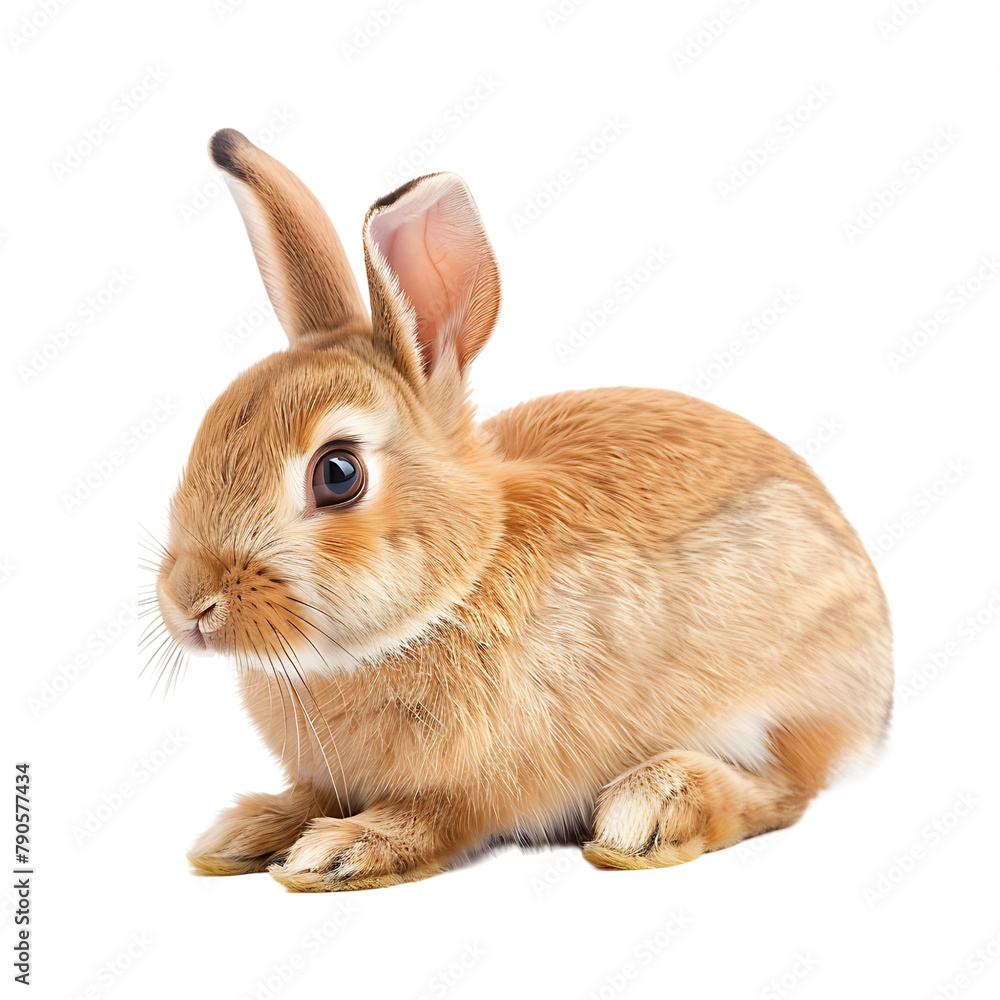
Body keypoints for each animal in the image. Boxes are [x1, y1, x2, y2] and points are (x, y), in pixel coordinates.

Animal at [154, 127, 893, 892]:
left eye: (338, 474)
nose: (190, 602)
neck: (457, 587)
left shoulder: (484, 783)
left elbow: (435, 817)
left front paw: (341, 850)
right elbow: (309, 795)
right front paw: (245, 832)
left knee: (786, 789)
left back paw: (654, 809)